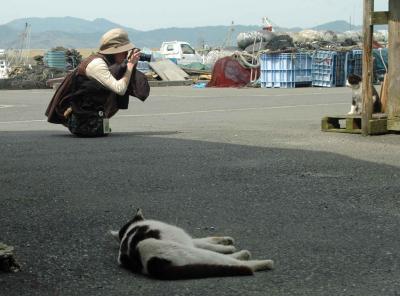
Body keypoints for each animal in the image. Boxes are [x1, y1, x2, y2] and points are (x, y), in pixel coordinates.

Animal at [109, 208, 274, 280]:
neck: (130, 229)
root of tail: (150, 266)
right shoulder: (184, 240)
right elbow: (209, 245)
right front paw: (227, 246)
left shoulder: (187, 240)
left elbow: (204, 240)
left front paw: (225, 239)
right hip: (187, 252)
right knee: (230, 261)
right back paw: (256, 260)